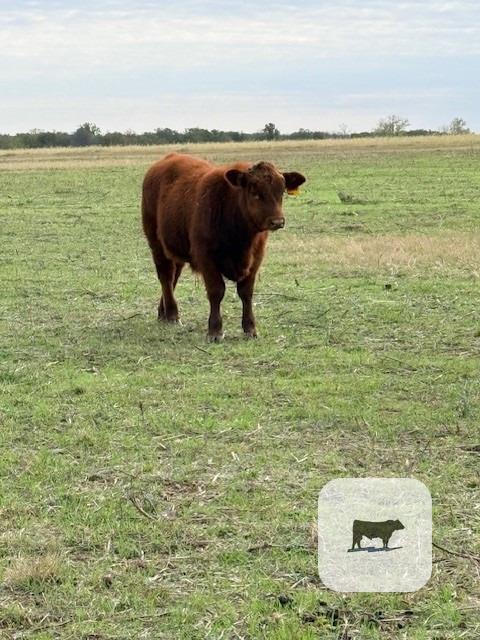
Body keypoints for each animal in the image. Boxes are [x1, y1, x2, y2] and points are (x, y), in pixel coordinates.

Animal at [141, 153, 306, 341]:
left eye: (281, 191)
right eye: (254, 192)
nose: (277, 221)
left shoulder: (256, 258)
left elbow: (246, 292)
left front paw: (250, 328)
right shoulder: (206, 257)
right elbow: (216, 291)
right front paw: (215, 330)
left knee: (173, 276)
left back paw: (163, 312)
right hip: (156, 244)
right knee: (166, 277)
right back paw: (172, 314)